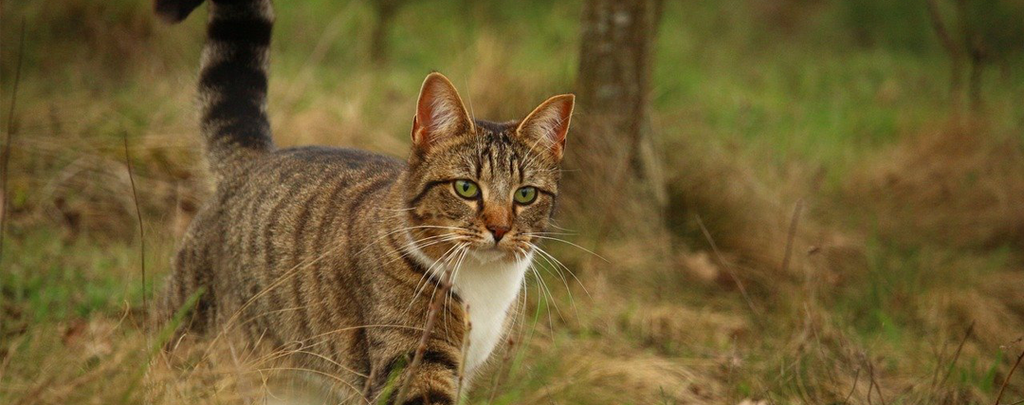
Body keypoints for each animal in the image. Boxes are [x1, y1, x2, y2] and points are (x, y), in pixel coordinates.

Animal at [157, 0, 577, 400]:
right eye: (466, 188)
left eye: (525, 194)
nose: (500, 228)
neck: (482, 283)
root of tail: (253, 158)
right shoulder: (411, 361)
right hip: (193, 331)